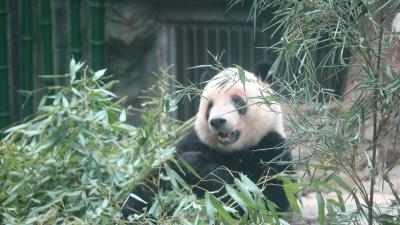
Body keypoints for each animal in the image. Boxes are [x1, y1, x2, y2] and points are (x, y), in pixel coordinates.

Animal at [122, 66, 294, 219]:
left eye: (237, 100)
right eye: (210, 105)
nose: (218, 121)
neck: (232, 150)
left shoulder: (272, 148)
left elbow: (261, 198)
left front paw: (191, 163)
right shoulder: (194, 141)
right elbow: (154, 183)